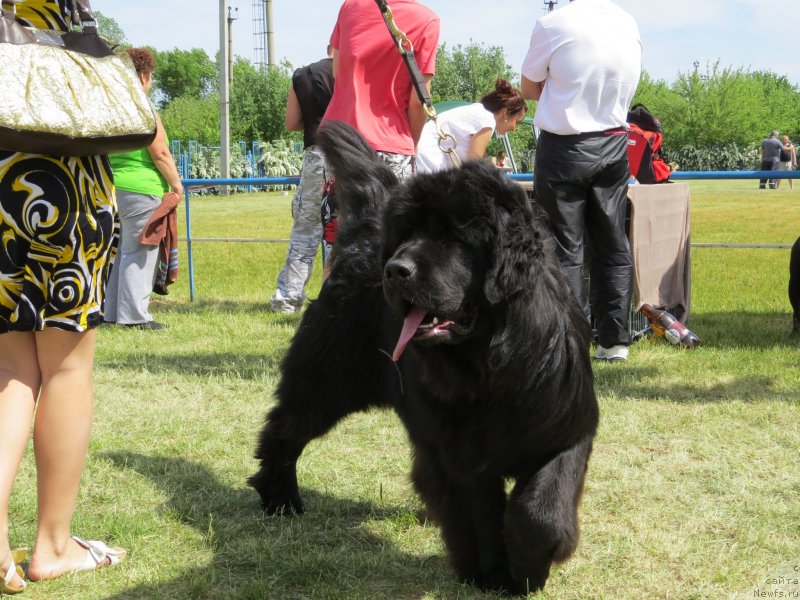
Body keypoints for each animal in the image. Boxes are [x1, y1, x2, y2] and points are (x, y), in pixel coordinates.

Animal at [252, 122, 600, 596]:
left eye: (455, 238)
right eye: (405, 236)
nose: (395, 270)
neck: (488, 366)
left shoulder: (564, 430)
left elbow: (540, 514)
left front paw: (530, 570)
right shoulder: (459, 458)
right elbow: (478, 517)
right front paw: (493, 575)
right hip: (326, 381)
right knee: (286, 428)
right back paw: (279, 496)